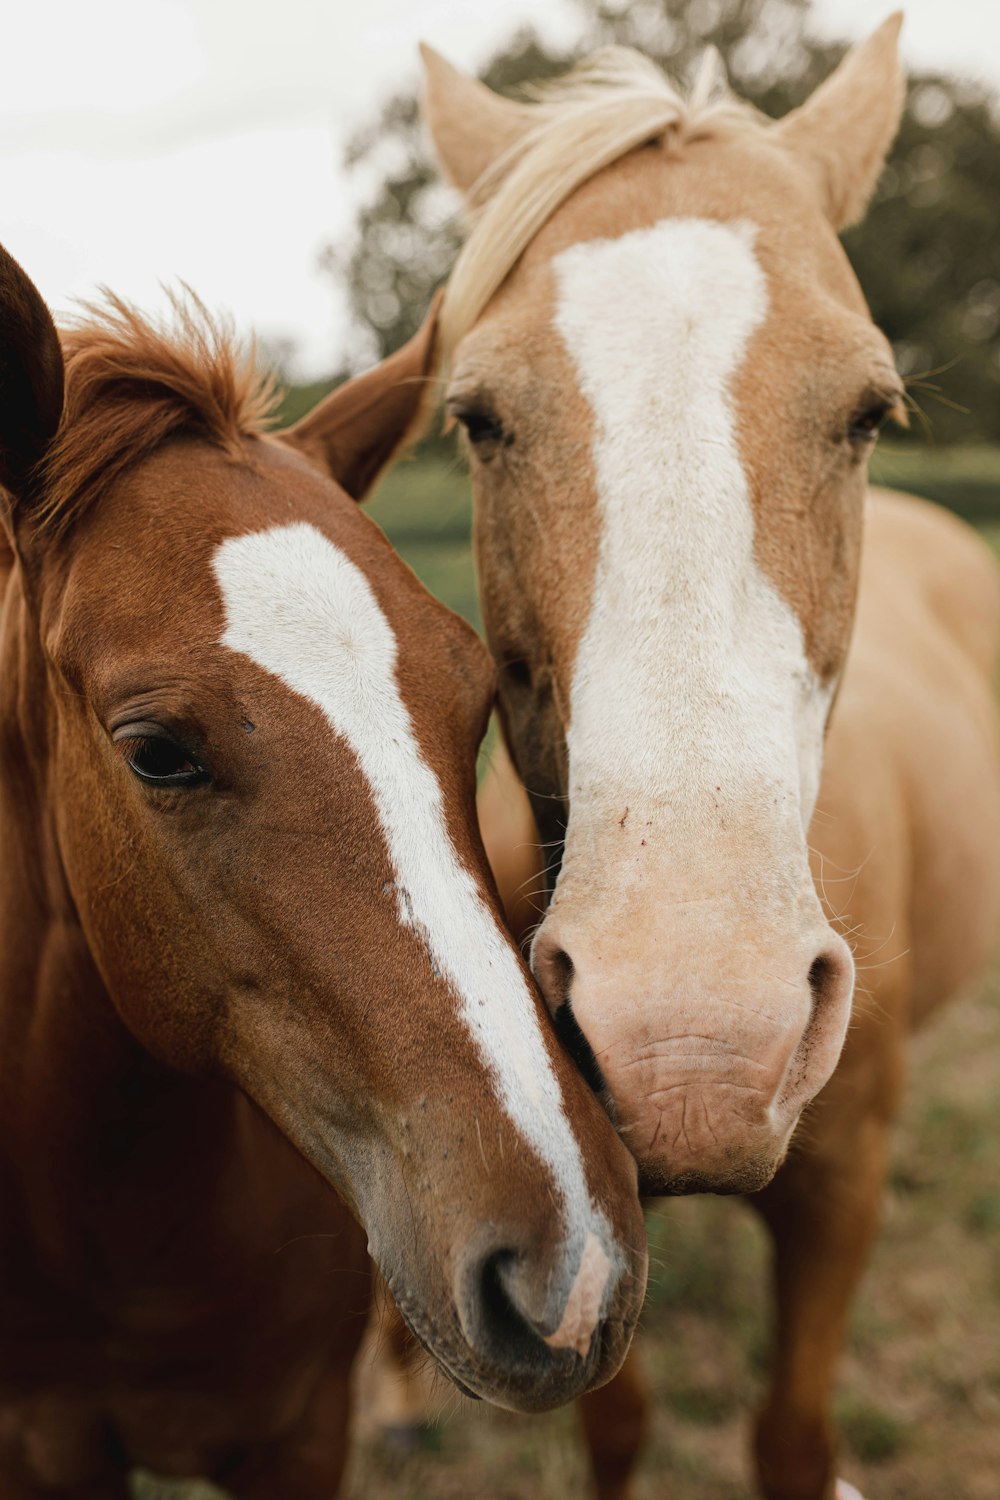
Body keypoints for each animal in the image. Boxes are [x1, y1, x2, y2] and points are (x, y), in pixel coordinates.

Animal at [419, 17, 1000, 1500]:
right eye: (477, 418)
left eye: (869, 411)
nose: (695, 1049)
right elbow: (614, 1427)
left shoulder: (844, 1190)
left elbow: (790, 1438)